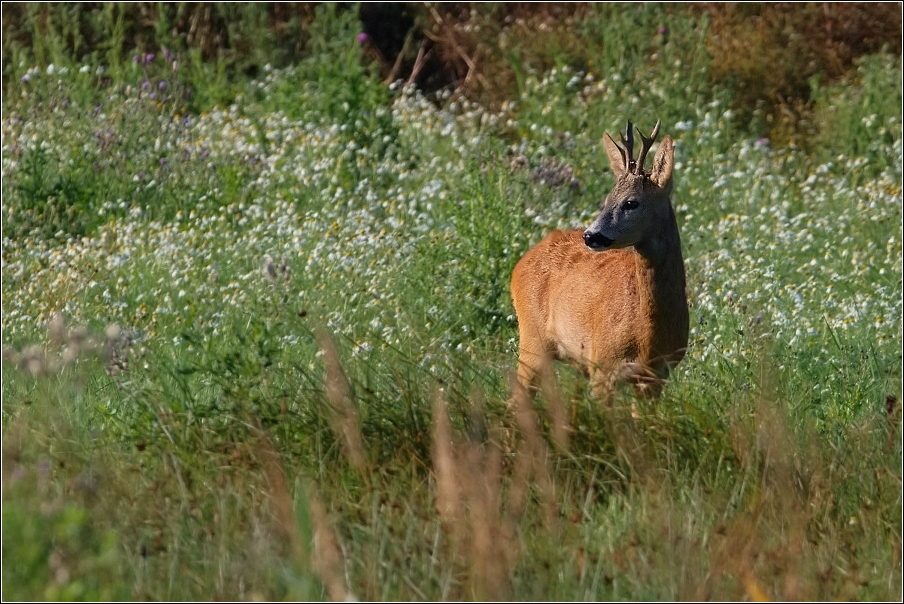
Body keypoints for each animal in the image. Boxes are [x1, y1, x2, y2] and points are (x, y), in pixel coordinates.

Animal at [512, 121, 688, 406]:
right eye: (607, 199)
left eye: (631, 202)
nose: (590, 235)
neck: (648, 336)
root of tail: (521, 262)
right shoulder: (603, 366)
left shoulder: (655, 377)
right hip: (532, 340)